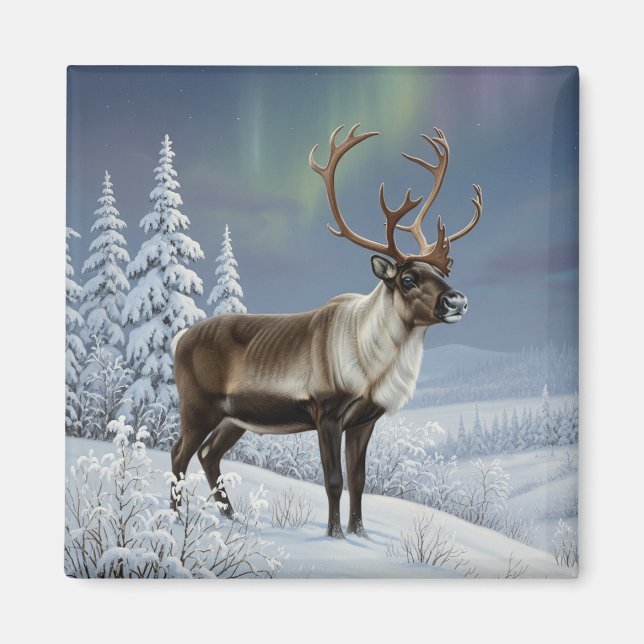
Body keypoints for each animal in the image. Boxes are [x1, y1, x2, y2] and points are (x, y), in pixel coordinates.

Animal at [170, 124, 482, 538]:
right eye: (408, 279)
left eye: (443, 272)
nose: (456, 300)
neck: (371, 366)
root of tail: (178, 340)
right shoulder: (326, 412)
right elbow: (334, 480)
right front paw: (335, 535)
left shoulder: (365, 420)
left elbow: (359, 479)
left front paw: (360, 533)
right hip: (197, 405)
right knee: (179, 454)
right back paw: (174, 519)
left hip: (233, 416)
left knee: (208, 455)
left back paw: (232, 518)